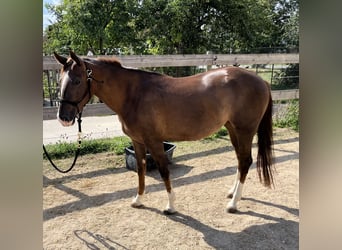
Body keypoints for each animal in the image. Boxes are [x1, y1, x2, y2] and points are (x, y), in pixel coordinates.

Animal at [53, 51, 274, 215]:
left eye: (77, 81)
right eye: (60, 79)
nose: (63, 118)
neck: (134, 94)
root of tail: (261, 81)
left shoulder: (154, 142)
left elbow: (164, 171)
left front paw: (170, 206)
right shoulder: (137, 142)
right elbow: (141, 170)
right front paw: (138, 200)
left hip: (245, 130)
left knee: (245, 161)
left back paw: (234, 204)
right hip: (232, 129)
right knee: (240, 160)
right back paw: (232, 193)